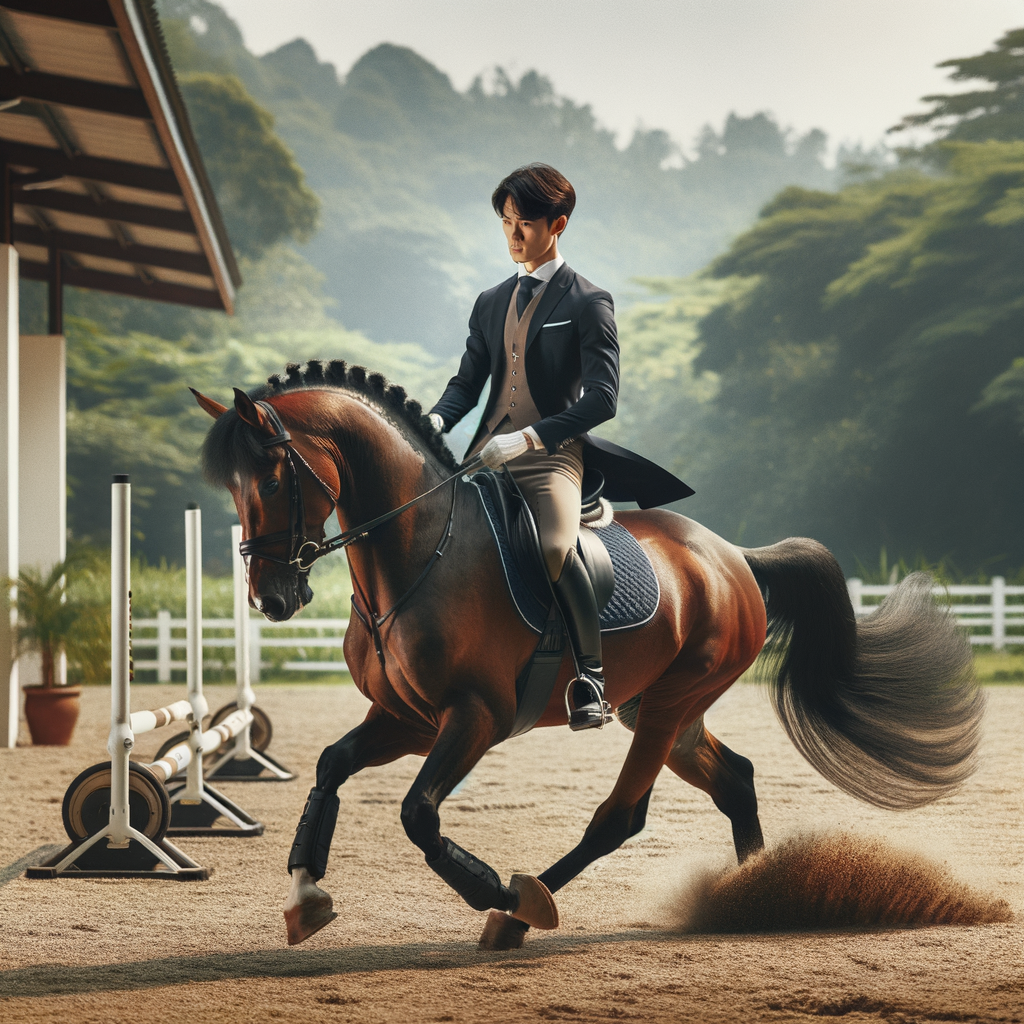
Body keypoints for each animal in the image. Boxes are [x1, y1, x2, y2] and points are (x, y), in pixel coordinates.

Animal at [192, 362, 983, 950]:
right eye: (230, 485)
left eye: (272, 477)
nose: (271, 596)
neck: (418, 553)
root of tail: (734, 556)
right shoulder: (407, 717)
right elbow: (330, 767)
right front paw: (305, 892)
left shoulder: (475, 716)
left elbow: (418, 815)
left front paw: (500, 890)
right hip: (664, 708)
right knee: (735, 780)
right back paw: (757, 898)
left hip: (669, 703)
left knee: (620, 818)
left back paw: (522, 911)